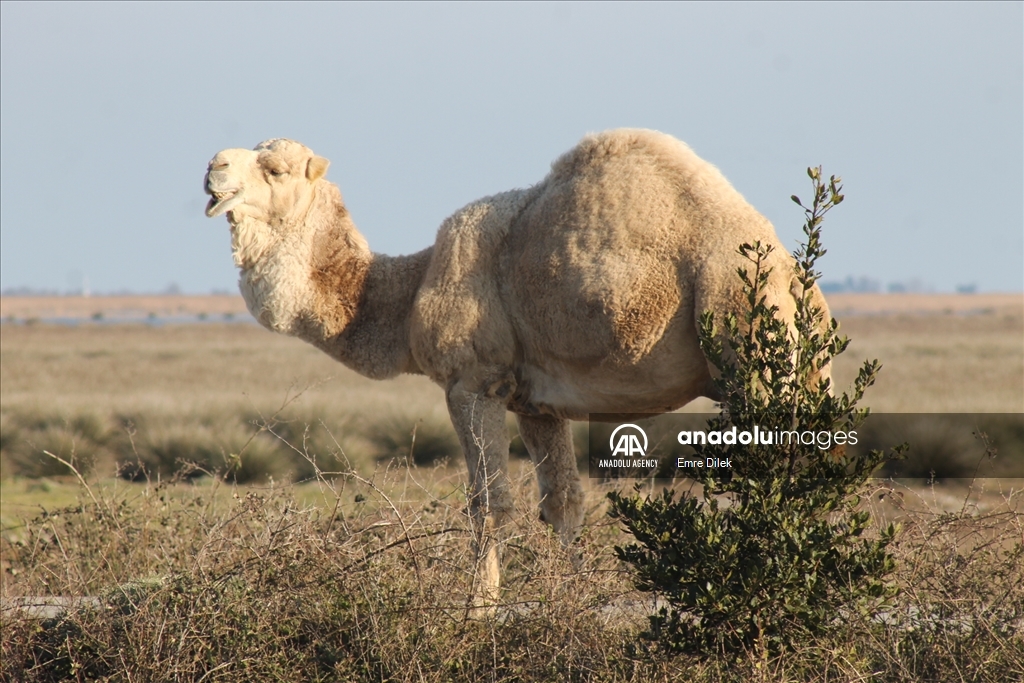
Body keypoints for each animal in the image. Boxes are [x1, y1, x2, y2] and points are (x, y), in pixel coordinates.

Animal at [203, 131, 827, 602]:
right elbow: (565, 503)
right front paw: (574, 601)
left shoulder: (472, 382)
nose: (213, 166)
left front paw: (477, 613)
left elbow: (489, 505)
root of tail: (787, 267)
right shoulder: (537, 401)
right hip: (798, 359)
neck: (410, 291)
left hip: (743, 330)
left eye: (276, 169)